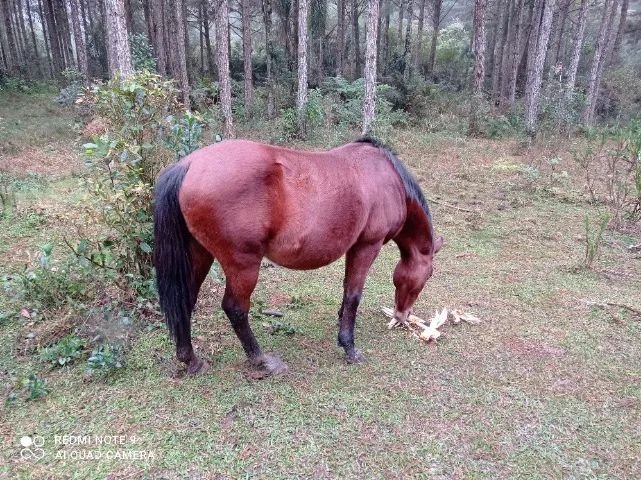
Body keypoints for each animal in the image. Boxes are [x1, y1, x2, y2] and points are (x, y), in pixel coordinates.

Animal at [153, 137, 443, 378]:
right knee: (235, 308)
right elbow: (354, 295)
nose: (403, 316)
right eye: (429, 274)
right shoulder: (367, 247)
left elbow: (346, 291)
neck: (388, 178)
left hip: (200, 254)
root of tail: (188, 165)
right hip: (243, 264)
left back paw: (190, 360)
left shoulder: (353, 248)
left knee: (187, 300)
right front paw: (349, 347)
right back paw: (261, 360)